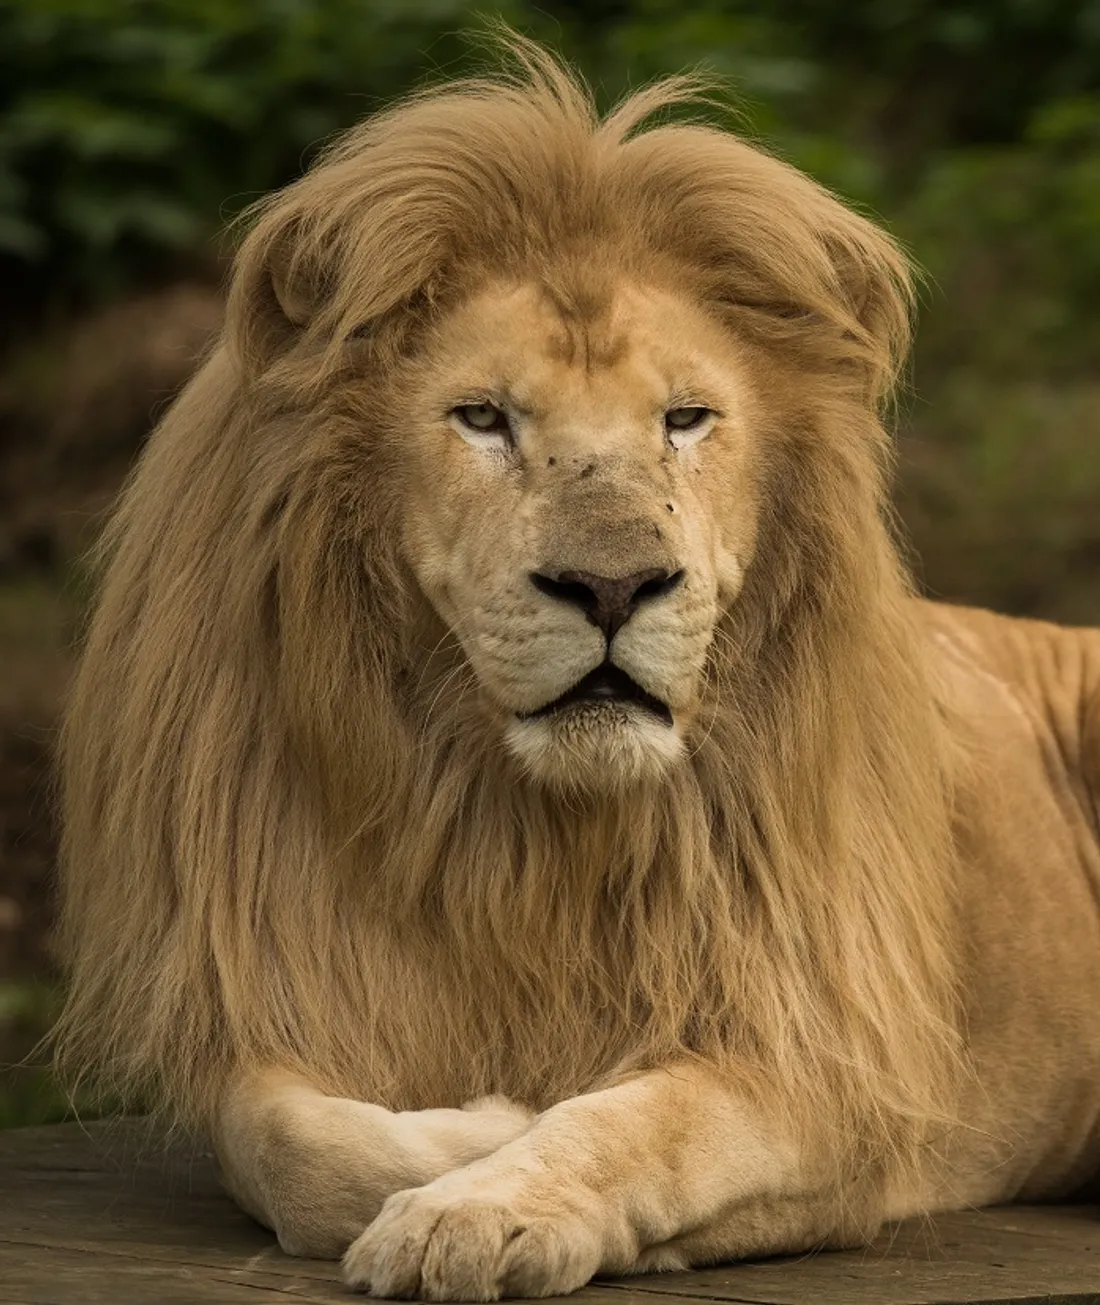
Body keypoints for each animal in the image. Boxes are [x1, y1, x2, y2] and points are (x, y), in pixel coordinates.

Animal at [54, 36, 1100, 1302]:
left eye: (685, 419)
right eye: (481, 418)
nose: (612, 589)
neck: (529, 835)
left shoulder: (827, 1063)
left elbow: (639, 1122)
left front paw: (482, 1202)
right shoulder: (272, 995)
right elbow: (288, 1140)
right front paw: (475, 1128)